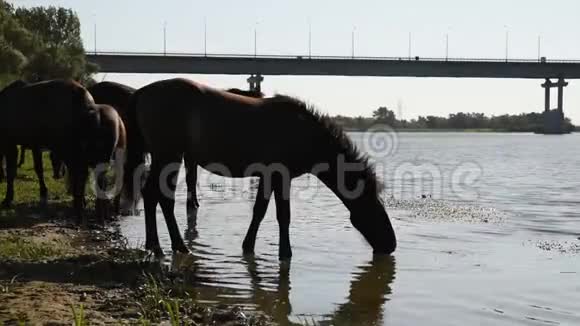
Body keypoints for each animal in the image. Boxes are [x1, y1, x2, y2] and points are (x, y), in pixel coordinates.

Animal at [0, 79, 126, 224]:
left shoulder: (10, 142)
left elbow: (12, 172)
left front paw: (7, 199)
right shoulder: (36, 145)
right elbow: (38, 169)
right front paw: (44, 192)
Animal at [122, 77, 394, 258]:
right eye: (374, 209)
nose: (391, 245)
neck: (305, 133)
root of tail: (142, 93)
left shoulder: (269, 176)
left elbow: (260, 211)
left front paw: (248, 246)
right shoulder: (281, 175)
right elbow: (282, 215)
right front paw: (285, 253)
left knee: (152, 196)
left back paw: (155, 245)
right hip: (168, 155)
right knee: (161, 198)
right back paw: (174, 246)